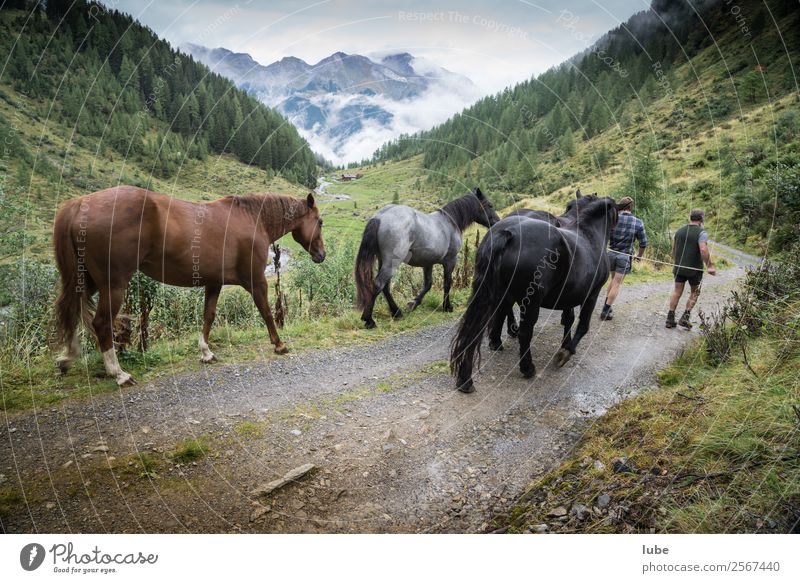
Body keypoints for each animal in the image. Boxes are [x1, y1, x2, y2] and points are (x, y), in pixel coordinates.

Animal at [54, 188, 324, 388]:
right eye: (320, 222)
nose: (322, 254)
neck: (251, 219)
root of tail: (80, 203)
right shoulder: (256, 280)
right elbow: (266, 311)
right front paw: (279, 344)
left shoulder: (214, 283)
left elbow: (208, 316)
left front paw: (206, 352)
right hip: (113, 285)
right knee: (101, 323)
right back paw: (119, 374)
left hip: (87, 281)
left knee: (72, 311)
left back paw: (68, 357)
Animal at [354, 187, 496, 328]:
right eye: (490, 205)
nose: (496, 221)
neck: (449, 223)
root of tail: (380, 217)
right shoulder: (450, 261)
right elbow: (447, 283)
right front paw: (447, 306)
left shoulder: (428, 263)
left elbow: (428, 284)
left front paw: (413, 304)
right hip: (391, 263)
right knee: (378, 285)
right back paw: (369, 320)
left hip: (383, 261)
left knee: (385, 287)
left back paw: (396, 312)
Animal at [450, 196, 620, 392]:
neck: (589, 236)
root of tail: (509, 233)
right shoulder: (592, 294)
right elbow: (583, 326)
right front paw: (566, 352)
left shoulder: (569, 296)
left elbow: (568, 320)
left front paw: (565, 344)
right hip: (531, 302)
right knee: (524, 332)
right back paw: (527, 367)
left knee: (478, 327)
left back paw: (466, 377)